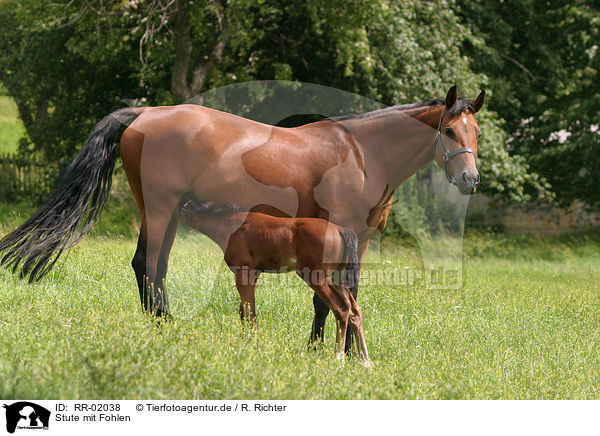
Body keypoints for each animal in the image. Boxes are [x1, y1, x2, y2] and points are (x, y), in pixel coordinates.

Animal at [179, 199, 370, 362]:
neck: (231, 224)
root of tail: (340, 230)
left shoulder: (243, 271)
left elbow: (249, 311)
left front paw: (251, 344)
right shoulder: (254, 274)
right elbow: (244, 310)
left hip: (316, 278)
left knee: (341, 308)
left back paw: (338, 357)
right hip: (338, 279)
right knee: (354, 310)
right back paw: (365, 361)